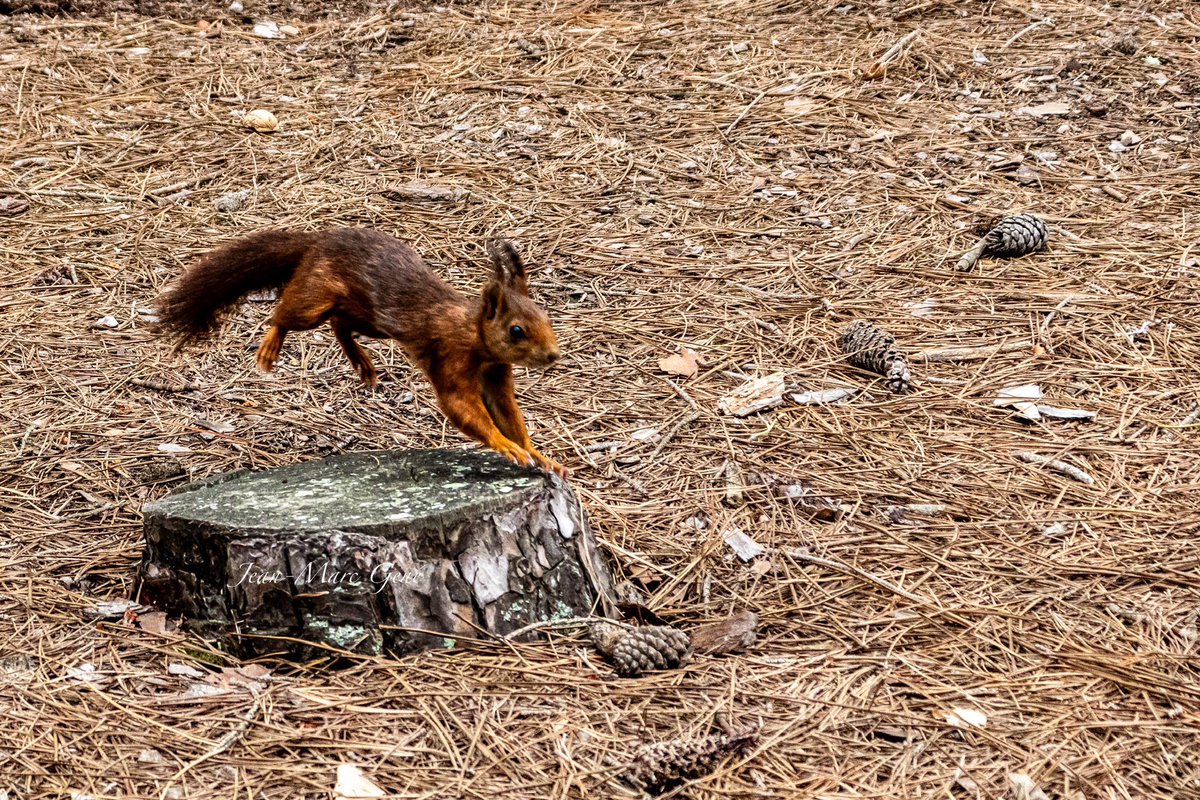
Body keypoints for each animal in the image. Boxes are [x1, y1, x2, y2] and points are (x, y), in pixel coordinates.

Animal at [158, 226, 566, 474]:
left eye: (545, 317)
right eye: (516, 330)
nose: (553, 356)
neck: (474, 335)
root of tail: (319, 240)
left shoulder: (496, 375)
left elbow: (508, 413)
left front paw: (536, 453)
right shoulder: (450, 357)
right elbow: (462, 407)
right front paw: (505, 446)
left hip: (370, 319)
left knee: (340, 324)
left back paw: (362, 363)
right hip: (316, 296)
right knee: (288, 314)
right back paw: (271, 345)